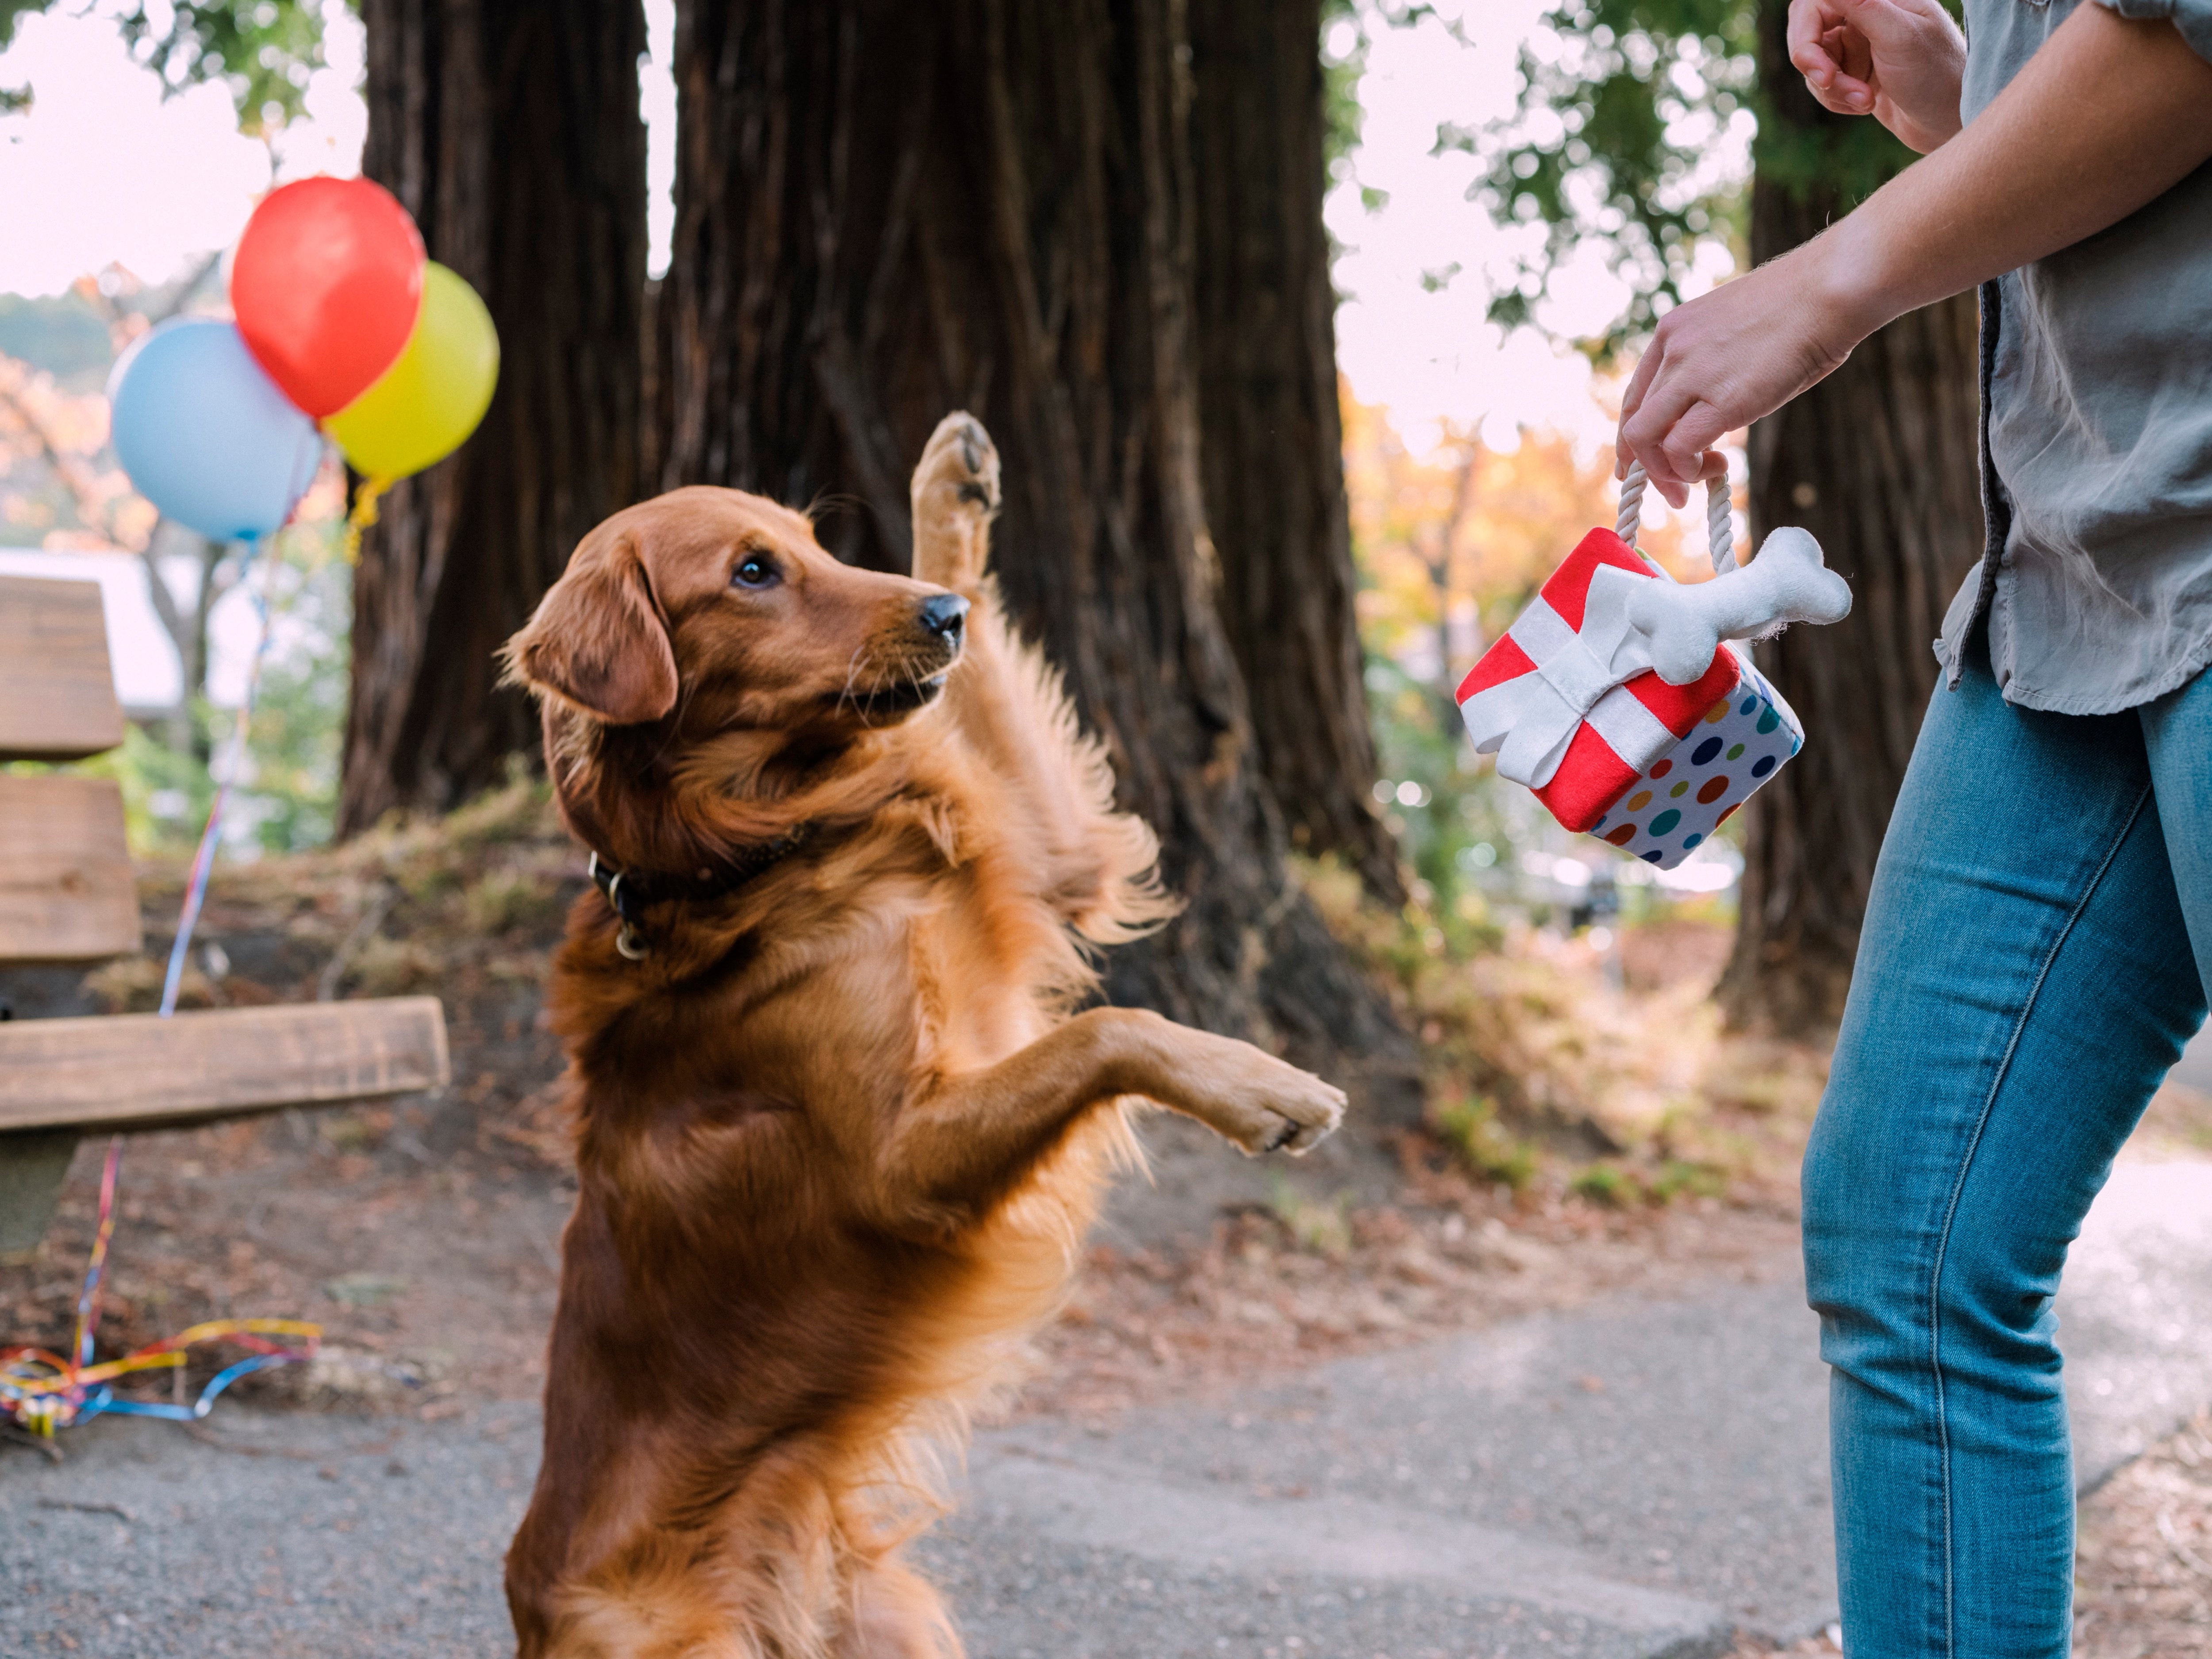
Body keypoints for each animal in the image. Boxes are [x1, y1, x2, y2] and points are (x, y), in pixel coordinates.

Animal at [498, 409, 1345, 1655]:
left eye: (816, 543)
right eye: (752, 573)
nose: (938, 617)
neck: (759, 851)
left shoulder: (1047, 855)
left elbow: (989, 695)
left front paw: (951, 496)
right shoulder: (897, 1168)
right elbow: (1106, 1029)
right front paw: (1261, 1087)